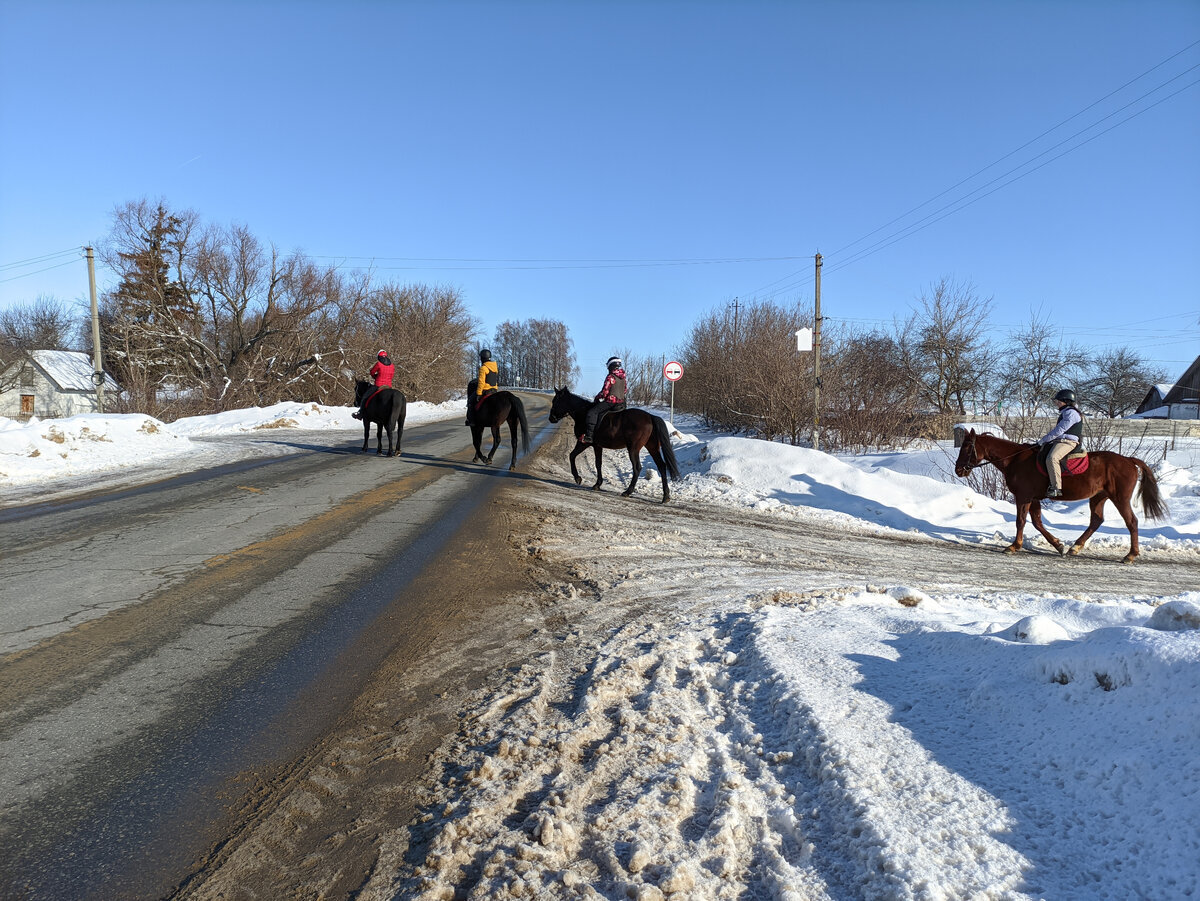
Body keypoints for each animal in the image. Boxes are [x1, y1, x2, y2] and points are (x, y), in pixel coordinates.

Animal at [549, 386, 681, 503]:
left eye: (556, 401)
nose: (551, 418)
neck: (583, 413)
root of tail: (650, 416)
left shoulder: (583, 442)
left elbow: (572, 456)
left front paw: (578, 478)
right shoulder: (597, 446)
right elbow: (598, 464)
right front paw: (597, 484)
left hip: (633, 449)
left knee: (637, 467)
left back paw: (628, 491)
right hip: (652, 447)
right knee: (662, 466)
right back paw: (665, 496)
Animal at [950, 429, 1166, 563]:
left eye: (967, 447)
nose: (958, 470)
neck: (1014, 460)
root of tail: (1128, 460)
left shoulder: (1024, 496)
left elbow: (1021, 521)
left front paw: (1014, 546)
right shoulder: (1033, 498)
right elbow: (1037, 522)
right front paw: (1059, 545)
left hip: (1119, 498)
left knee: (1132, 522)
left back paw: (1130, 555)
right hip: (1098, 497)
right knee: (1096, 520)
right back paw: (1075, 547)